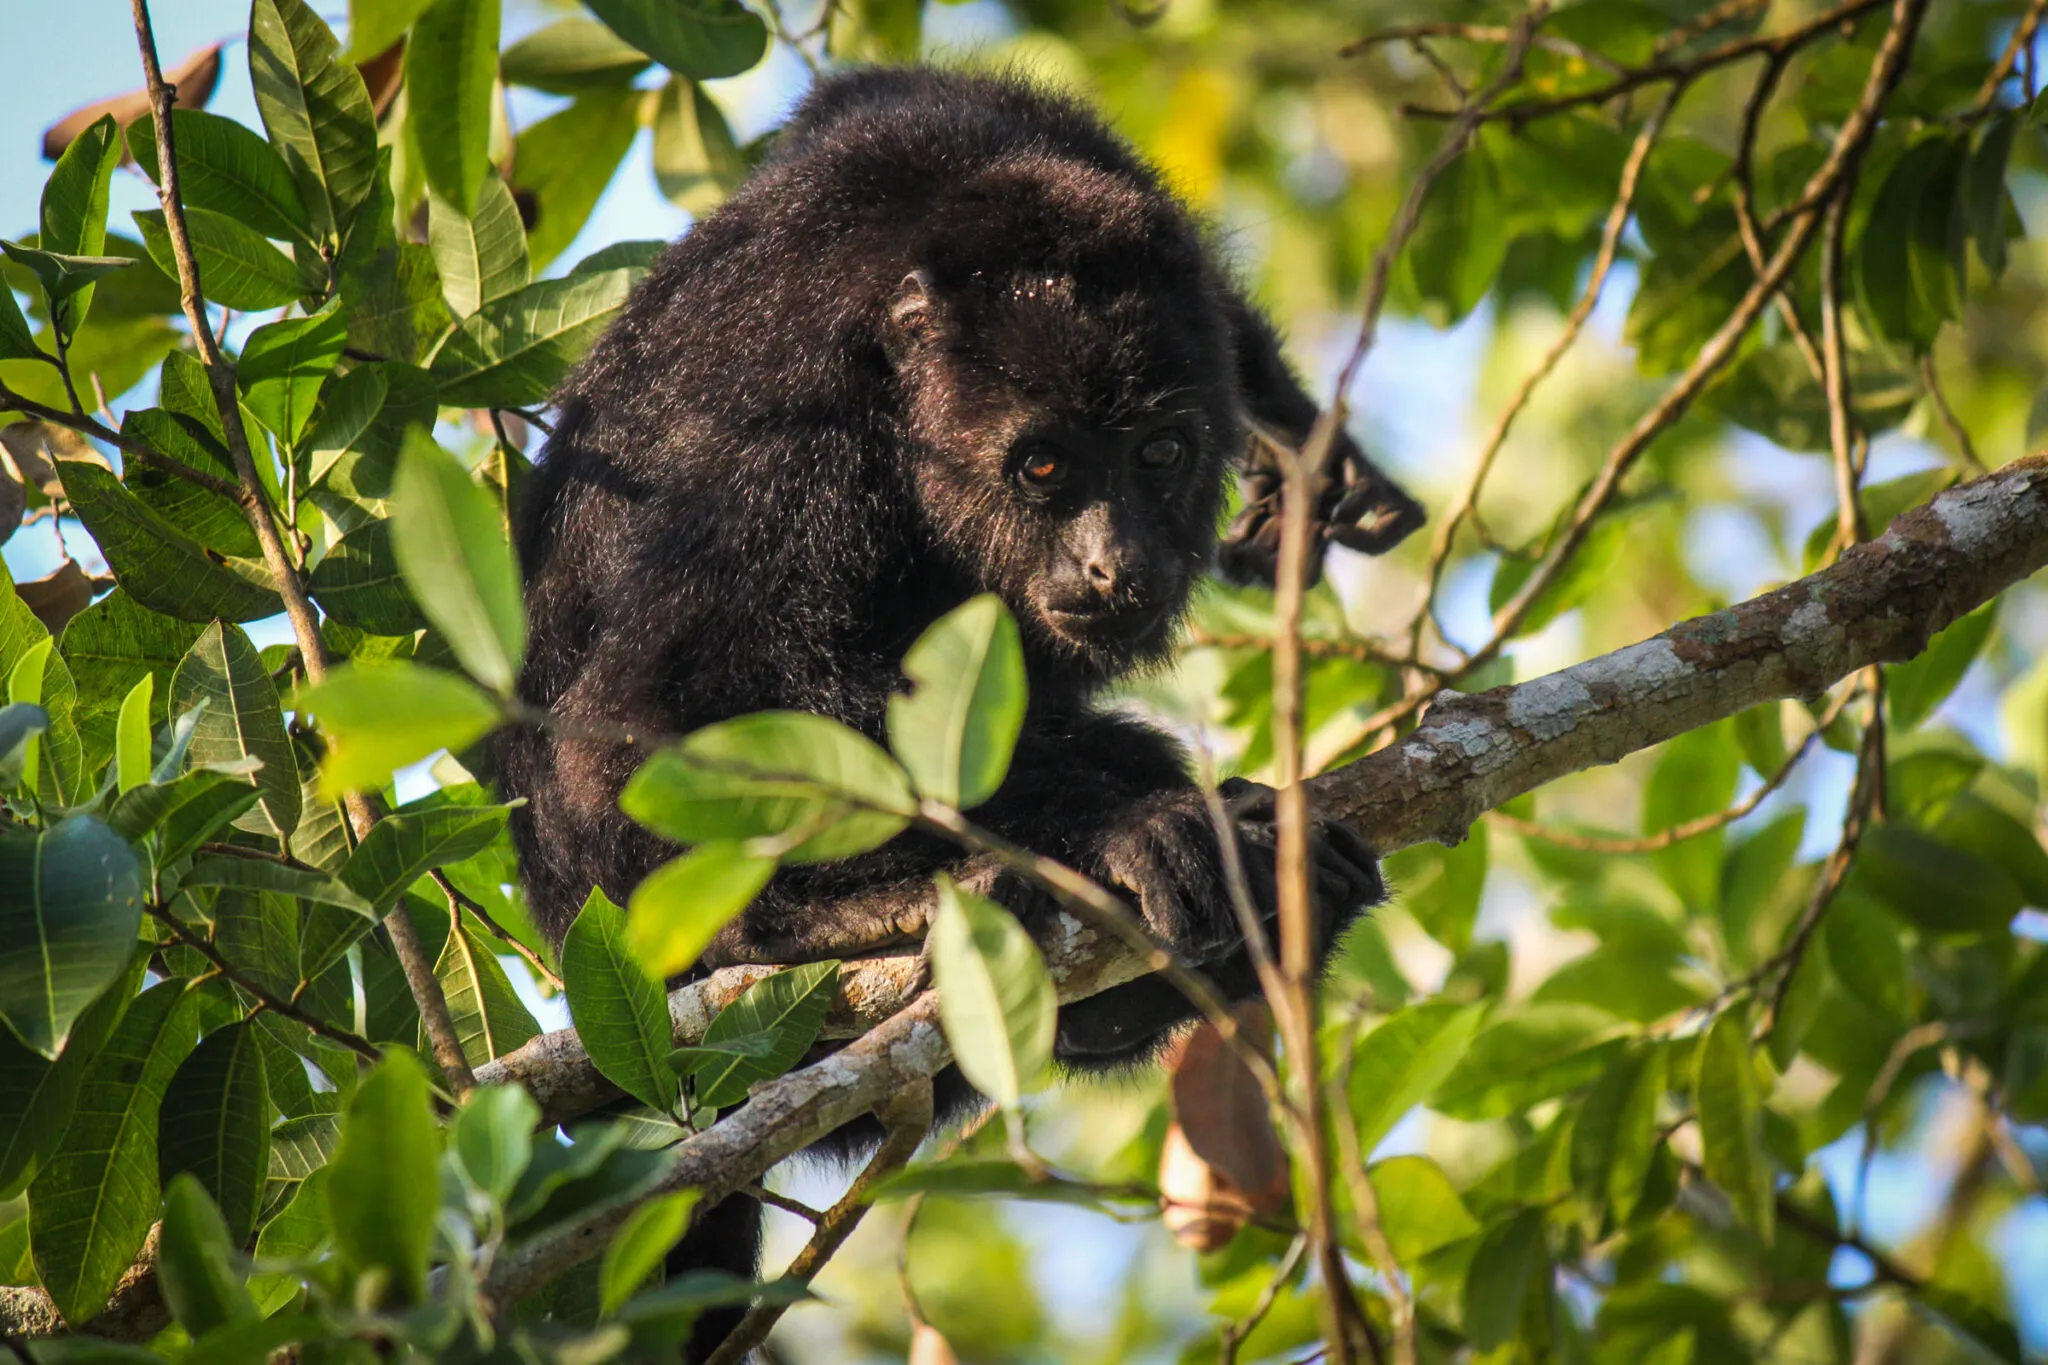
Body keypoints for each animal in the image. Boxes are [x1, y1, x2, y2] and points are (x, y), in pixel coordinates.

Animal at [497, 63, 1425, 1358]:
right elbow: (647, 724)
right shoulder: (787, 453)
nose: (1113, 564)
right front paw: (1129, 828)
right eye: (1041, 467)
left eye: (1158, 453)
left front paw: (1298, 438)